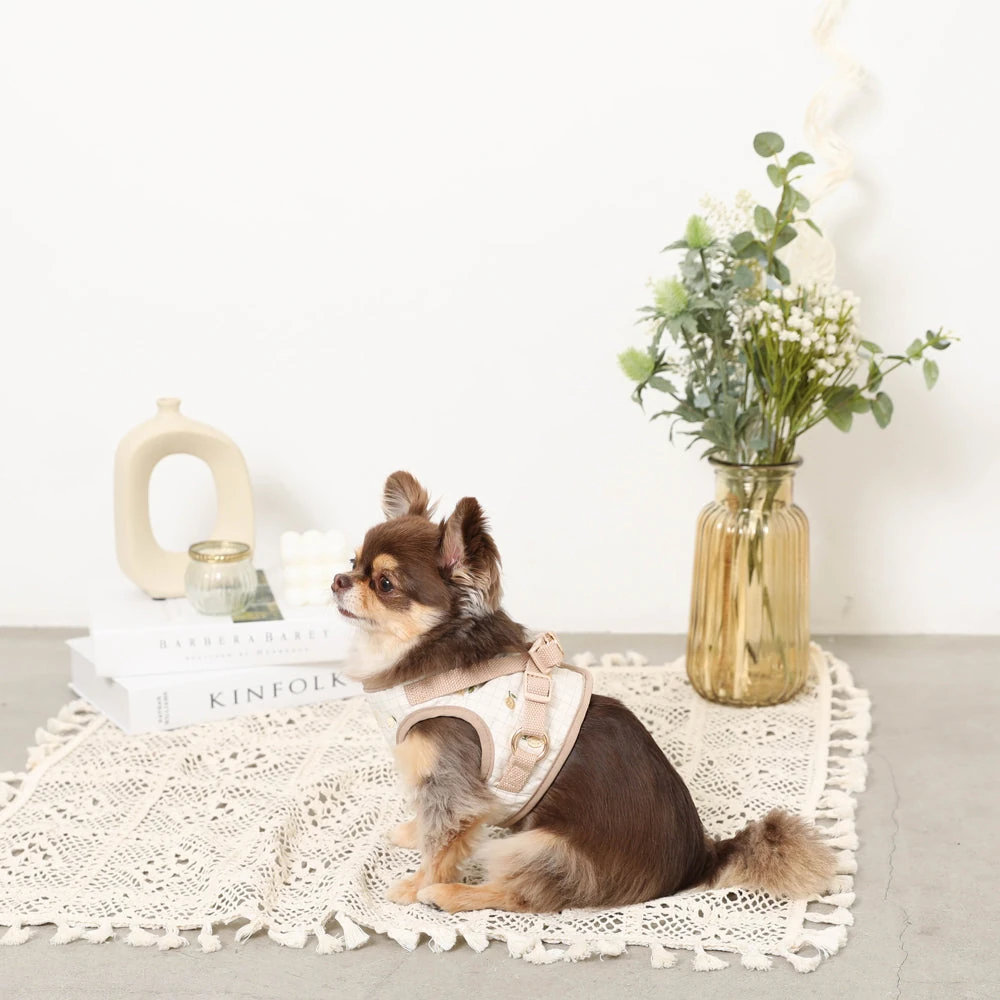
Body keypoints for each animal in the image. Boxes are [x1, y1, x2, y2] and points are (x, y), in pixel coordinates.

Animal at [333, 471, 835, 913]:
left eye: (384, 583)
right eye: (353, 562)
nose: (338, 579)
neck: (428, 654)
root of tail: (699, 860)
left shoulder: (451, 784)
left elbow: (442, 842)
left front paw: (418, 883)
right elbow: (430, 826)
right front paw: (411, 831)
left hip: (539, 846)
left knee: (524, 898)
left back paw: (449, 895)